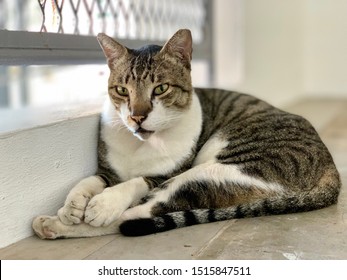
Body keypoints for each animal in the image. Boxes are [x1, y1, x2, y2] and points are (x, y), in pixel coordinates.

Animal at [32, 27, 342, 238]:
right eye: (122, 90)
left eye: (160, 88)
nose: (136, 117)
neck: (141, 145)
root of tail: (331, 169)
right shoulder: (108, 170)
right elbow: (89, 180)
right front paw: (72, 205)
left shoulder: (166, 174)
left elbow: (135, 184)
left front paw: (102, 204)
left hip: (215, 170)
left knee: (139, 213)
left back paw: (53, 223)